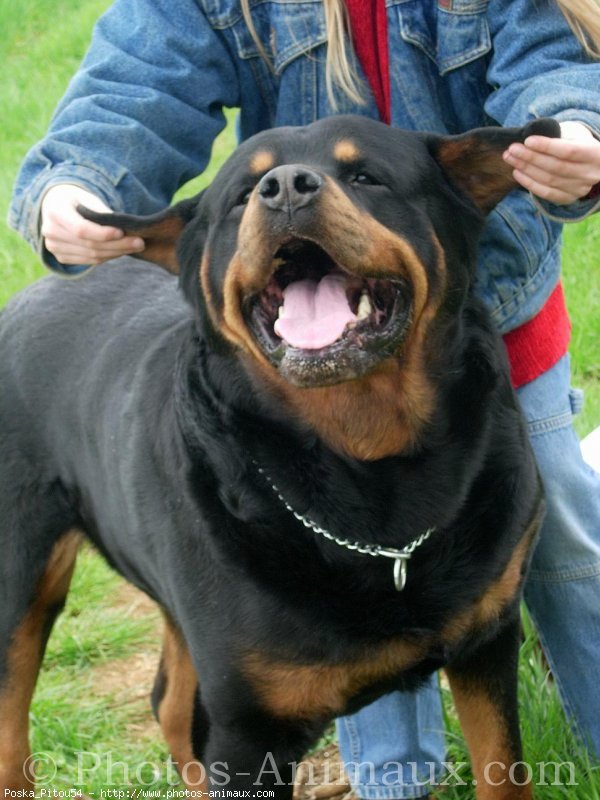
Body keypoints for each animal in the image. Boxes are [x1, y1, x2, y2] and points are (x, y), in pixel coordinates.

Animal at [0, 115, 556, 796]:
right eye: (243, 194)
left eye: (366, 176)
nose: (286, 187)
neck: (370, 472)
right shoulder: (249, 729)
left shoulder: (488, 640)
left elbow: (503, 769)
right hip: (18, 588)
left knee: (170, 701)